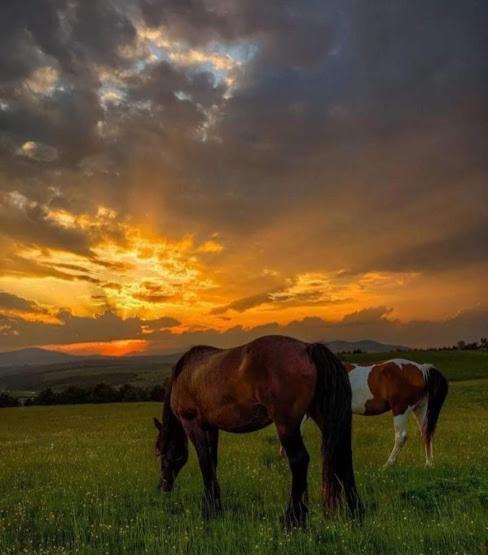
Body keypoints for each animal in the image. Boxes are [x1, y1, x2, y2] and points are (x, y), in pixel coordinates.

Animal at [152, 332, 362, 528]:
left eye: (161, 452)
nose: (163, 487)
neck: (184, 374)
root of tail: (307, 348)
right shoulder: (211, 427)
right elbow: (212, 464)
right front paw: (215, 507)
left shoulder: (193, 423)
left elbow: (205, 464)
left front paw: (209, 511)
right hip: (323, 417)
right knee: (342, 456)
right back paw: (355, 512)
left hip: (286, 423)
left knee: (299, 460)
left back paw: (293, 519)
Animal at [286, 358, 450, 466]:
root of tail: (421, 369)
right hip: (420, 408)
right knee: (426, 432)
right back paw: (428, 464)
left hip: (400, 409)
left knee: (401, 436)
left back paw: (388, 464)